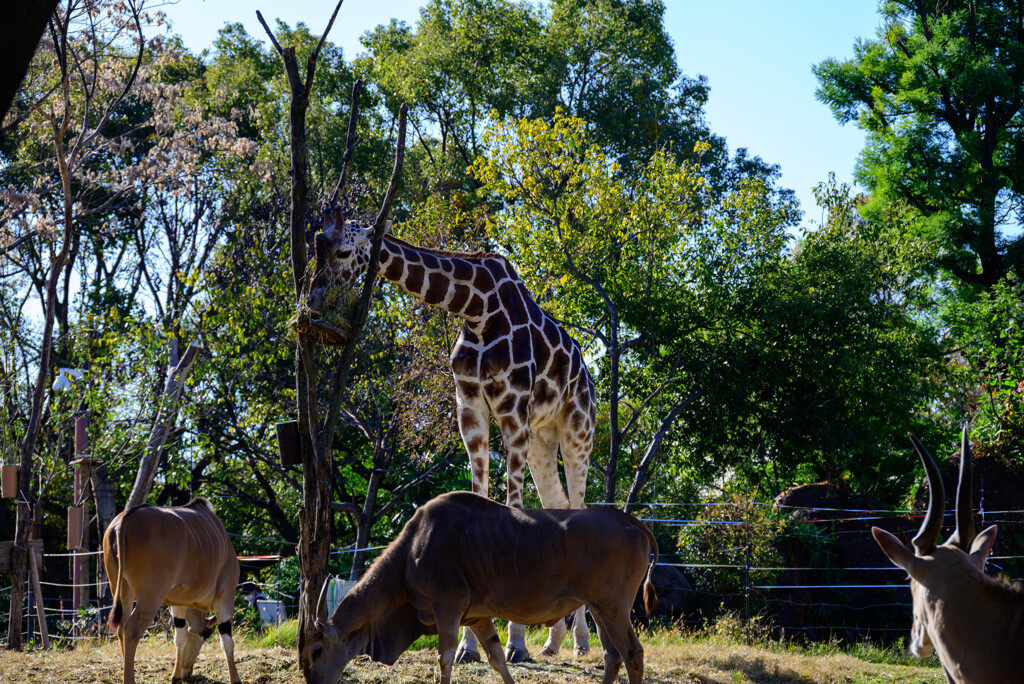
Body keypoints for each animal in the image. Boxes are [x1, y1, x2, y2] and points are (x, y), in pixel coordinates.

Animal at [307, 215, 598, 663]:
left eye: (342, 251)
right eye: (315, 247)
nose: (312, 305)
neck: (476, 308)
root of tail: (586, 373)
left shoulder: (512, 408)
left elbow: (513, 508)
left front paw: (515, 643)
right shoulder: (470, 408)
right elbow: (480, 496)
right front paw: (469, 644)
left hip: (577, 431)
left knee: (580, 506)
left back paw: (579, 642)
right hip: (541, 440)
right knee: (561, 507)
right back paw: (556, 640)